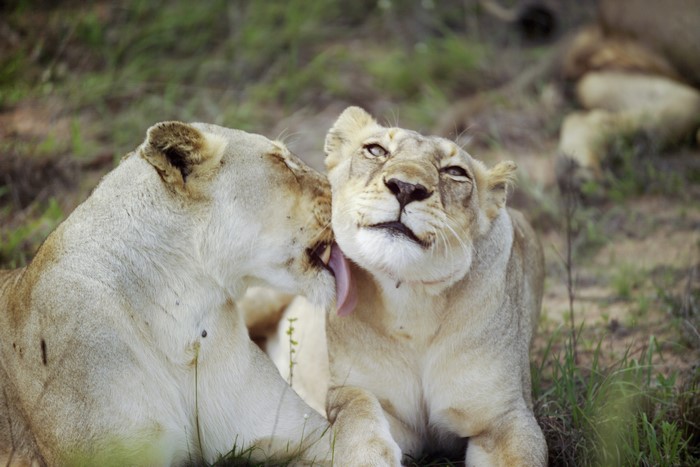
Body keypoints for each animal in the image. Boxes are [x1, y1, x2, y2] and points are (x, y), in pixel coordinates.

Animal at [261, 107, 547, 465]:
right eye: (375, 150)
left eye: (455, 172)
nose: (406, 187)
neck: (412, 302)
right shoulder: (356, 393)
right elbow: (356, 413)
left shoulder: (506, 416)